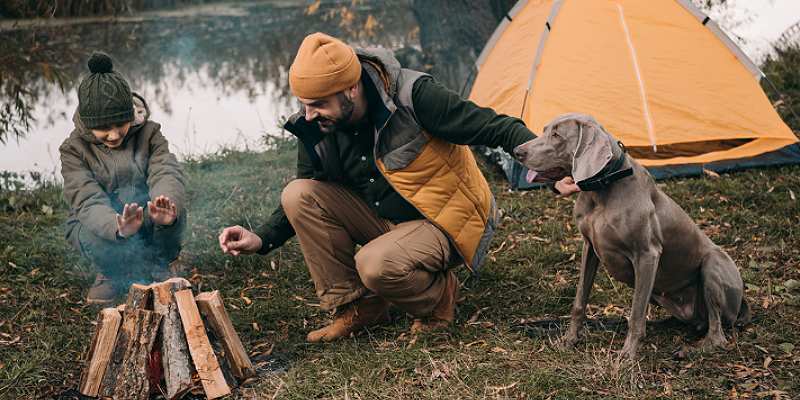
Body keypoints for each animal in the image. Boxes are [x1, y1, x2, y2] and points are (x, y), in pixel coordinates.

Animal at [512, 113, 752, 360]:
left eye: (557, 135)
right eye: (544, 130)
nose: (516, 151)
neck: (603, 187)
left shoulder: (647, 254)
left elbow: (636, 315)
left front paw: (626, 356)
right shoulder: (589, 247)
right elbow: (579, 300)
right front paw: (569, 340)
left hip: (713, 264)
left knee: (718, 335)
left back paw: (689, 350)